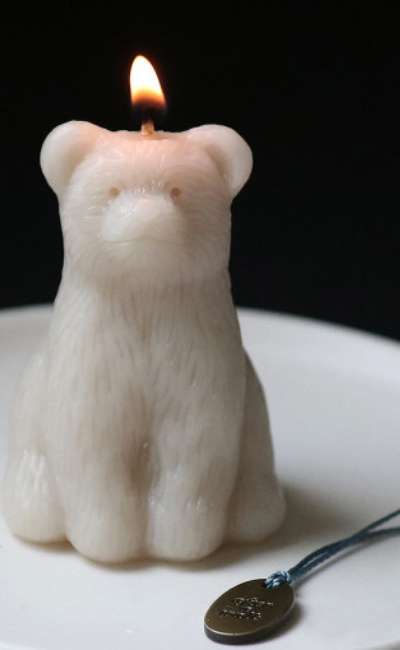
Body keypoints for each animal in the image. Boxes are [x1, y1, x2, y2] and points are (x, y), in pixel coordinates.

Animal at [2, 121, 285, 563]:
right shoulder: (91, 369)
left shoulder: (199, 367)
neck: (145, 307)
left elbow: (194, 456)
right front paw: (107, 540)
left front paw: (181, 539)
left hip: (257, 465)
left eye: (178, 190)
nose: (148, 219)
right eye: (113, 190)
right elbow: (91, 453)